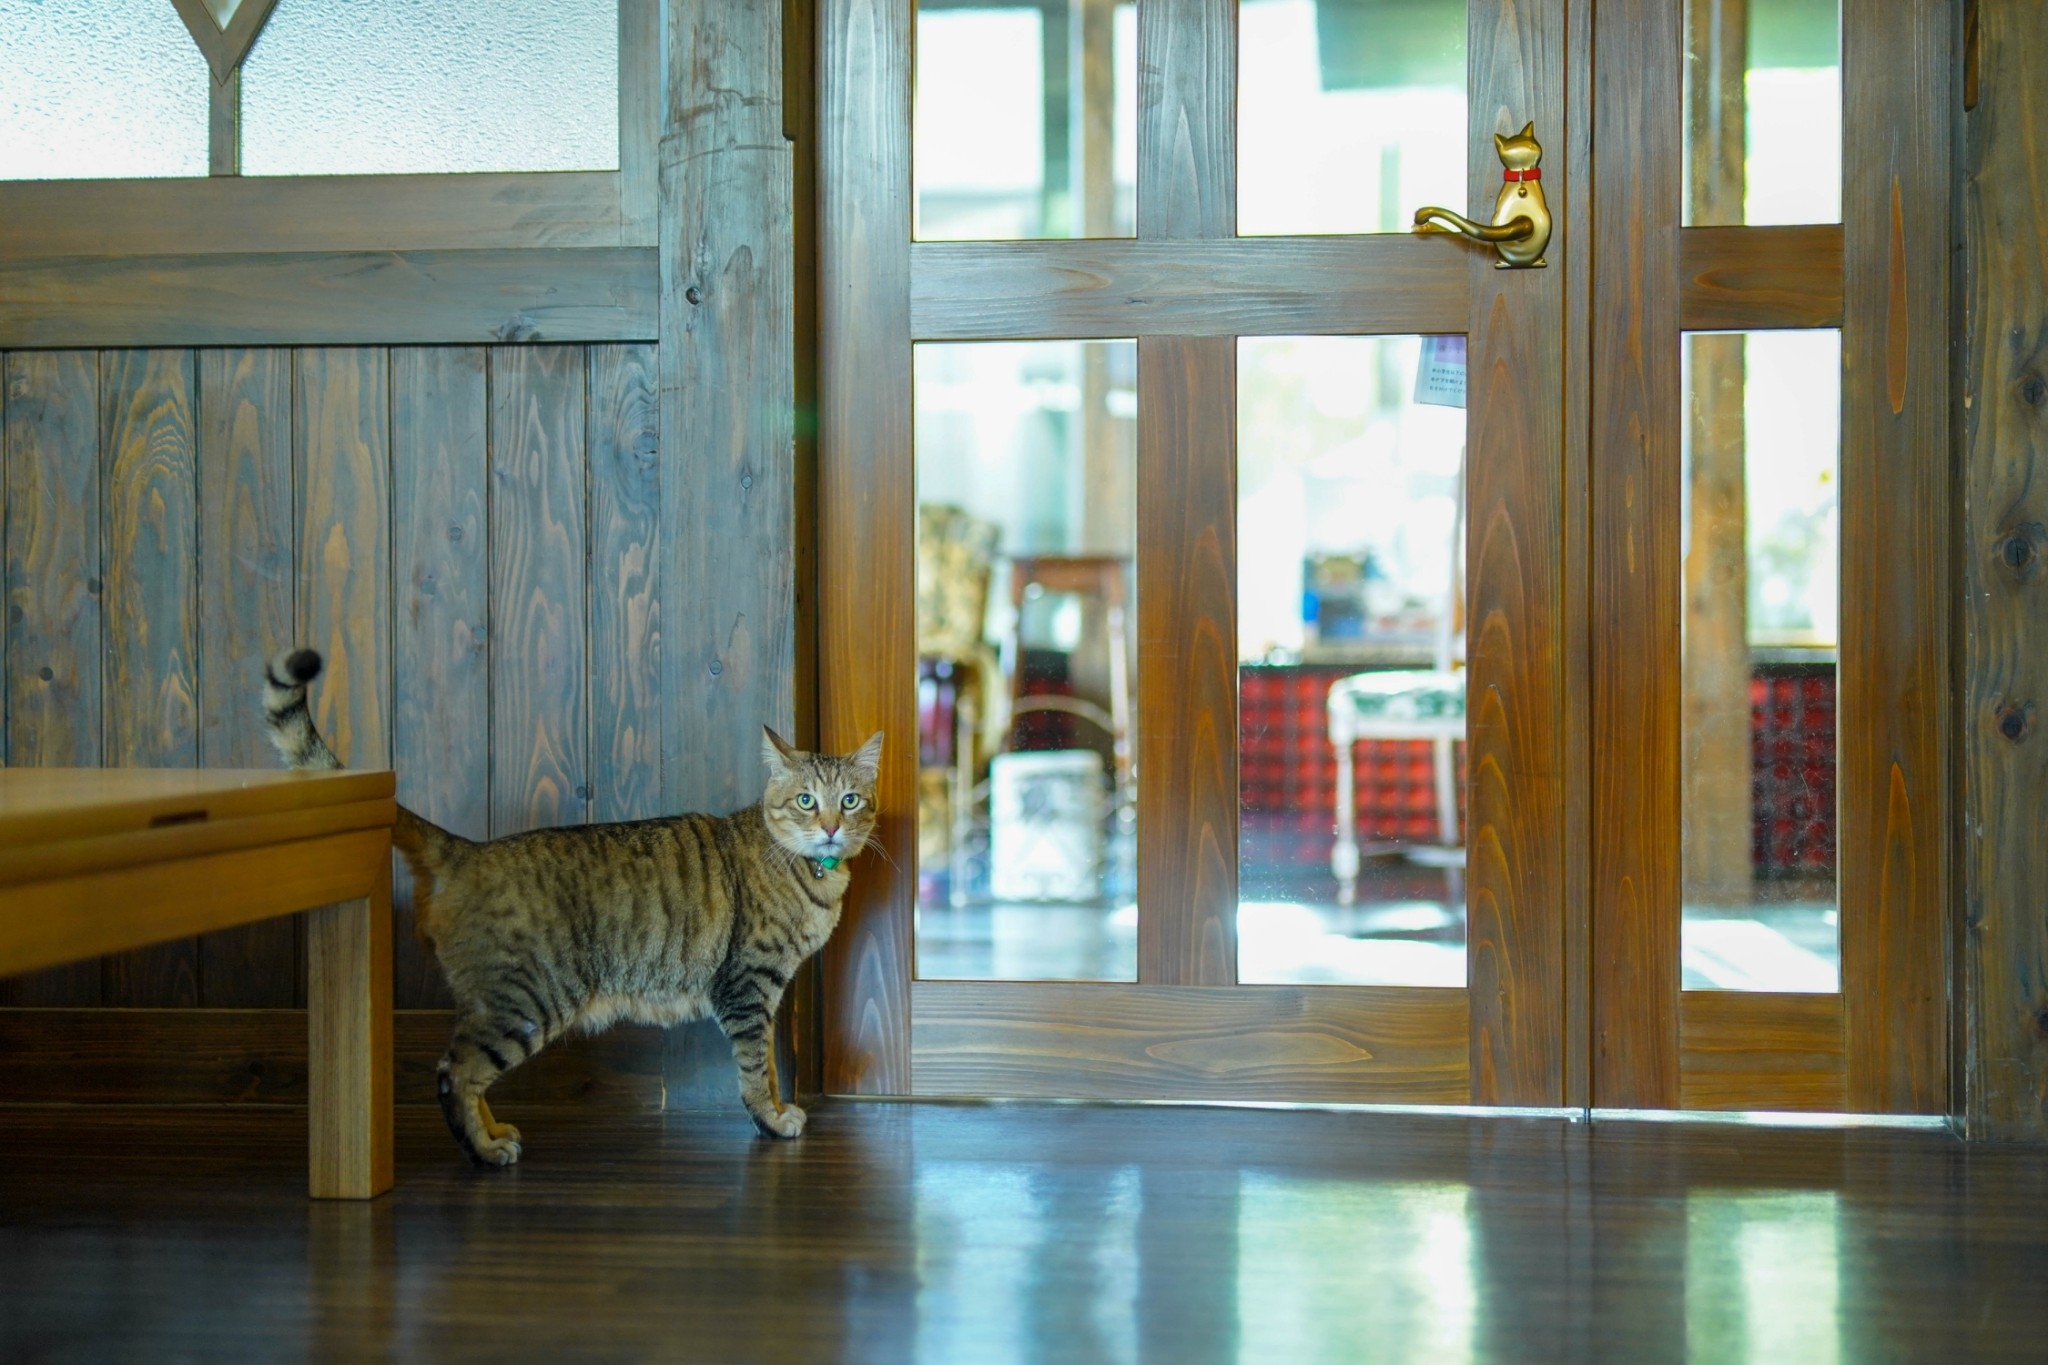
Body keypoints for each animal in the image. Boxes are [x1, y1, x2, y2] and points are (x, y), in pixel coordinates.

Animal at [260, 650, 876, 1162]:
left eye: (850, 800)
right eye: (805, 801)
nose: (830, 826)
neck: (809, 872)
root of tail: (470, 850)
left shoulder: (765, 991)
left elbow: (768, 1062)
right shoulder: (748, 984)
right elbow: (755, 1066)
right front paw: (771, 1120)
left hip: (494, 1003)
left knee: (467, 1070)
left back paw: (494, 1131)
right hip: (528, 1000)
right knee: (453, 1073)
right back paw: (484, 1151)